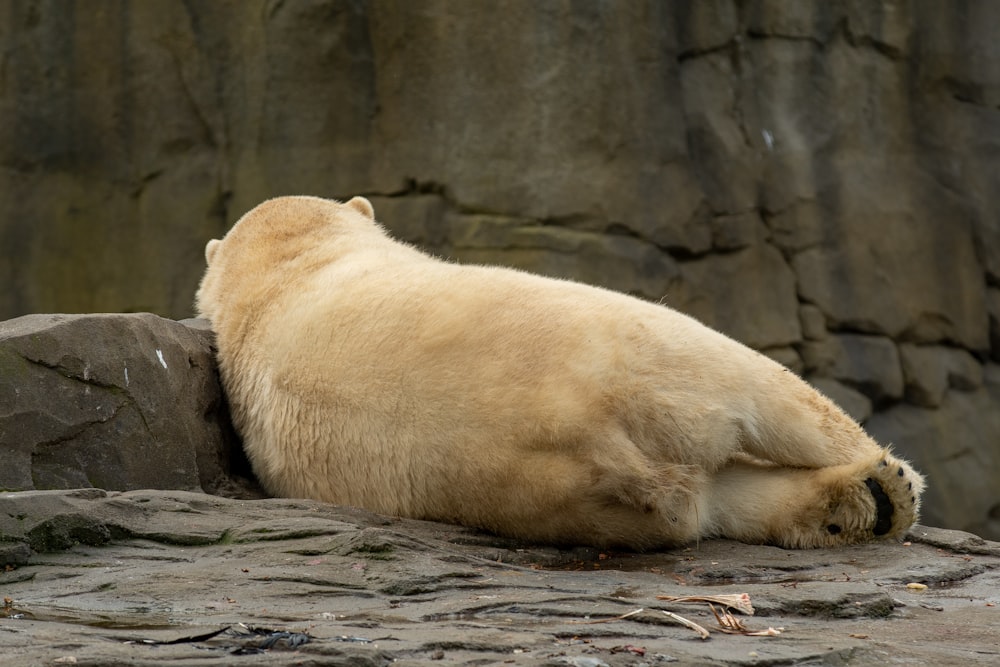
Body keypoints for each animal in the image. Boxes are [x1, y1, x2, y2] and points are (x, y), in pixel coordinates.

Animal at [199, 196, 924, 552]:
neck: (280, 271)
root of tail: (589, 431)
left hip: (587, 493)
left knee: (720, 501)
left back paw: (865, 501)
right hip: (652, 357)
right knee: (770, 396)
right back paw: (893, 484)